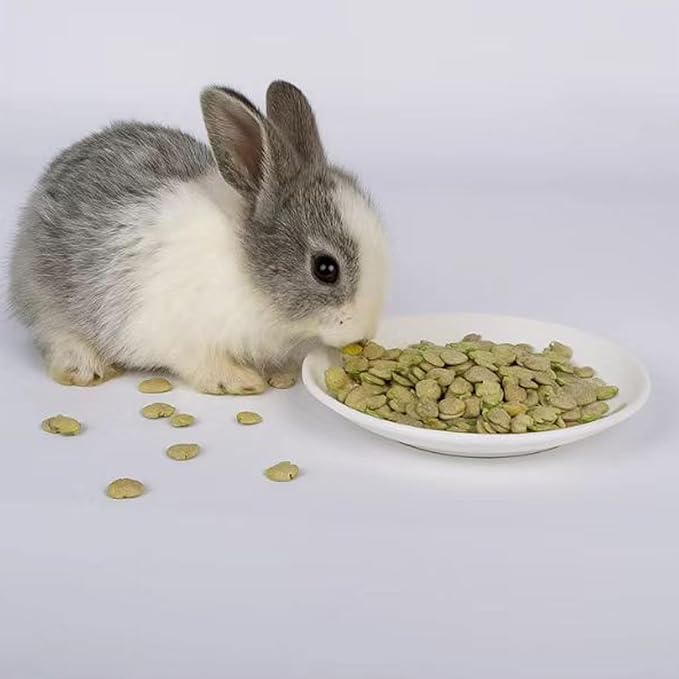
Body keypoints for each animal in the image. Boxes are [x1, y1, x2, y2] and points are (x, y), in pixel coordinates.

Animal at [9, 81, 388, 394]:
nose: (363, 334)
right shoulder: (178, 335)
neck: (245, 266)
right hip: (46, 294)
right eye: (325, 269)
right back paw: (85, 367)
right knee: (55, 331)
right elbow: (201, 363)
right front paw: (240, 382)